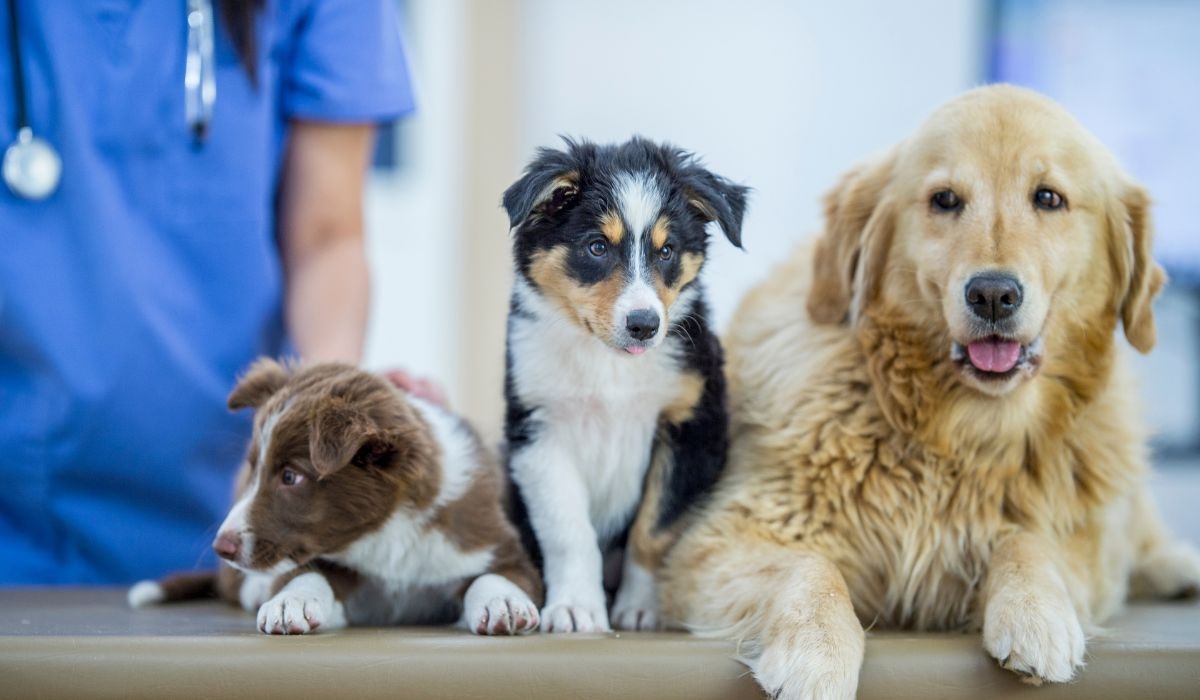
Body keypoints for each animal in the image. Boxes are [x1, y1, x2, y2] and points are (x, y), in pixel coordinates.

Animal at [132, 362, 544, 633]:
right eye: (253, 468)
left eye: (290, 477)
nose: (222, 547)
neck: (388, 534)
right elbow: (307, 573)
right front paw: (290, 602)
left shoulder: (495, 544)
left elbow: (495, 576)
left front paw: (503, 601)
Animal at [501, 138, 744, 633]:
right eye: (597, 247)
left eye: (666, 251)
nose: (644, 325)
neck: (608, 363)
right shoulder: (538, 430)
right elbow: (569, 530)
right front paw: (576, 607)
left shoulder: (692, 425)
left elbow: (653, 527)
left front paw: (641, 607)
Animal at [662, 84, 1195, 696]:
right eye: (944, 200)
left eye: (1048, 197)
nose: (993, 295)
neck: (957, 430)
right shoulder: (715, 542)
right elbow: (810, 566)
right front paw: (815, 650)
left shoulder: (1083, 549)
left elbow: (1029, 540)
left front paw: (1036, 613)